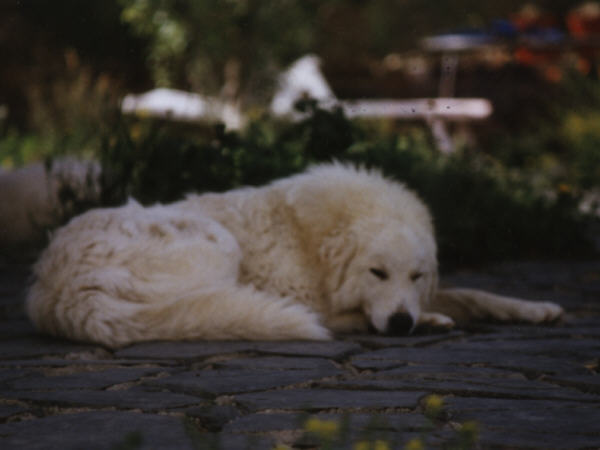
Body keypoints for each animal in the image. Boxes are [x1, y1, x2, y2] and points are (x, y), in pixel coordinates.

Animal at [27, 163, 564, 346]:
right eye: (376, 272)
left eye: (416, 275)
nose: (401, 324)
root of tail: (56, 291)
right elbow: (341, 312)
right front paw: (428, 318)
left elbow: (474, 292)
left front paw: (536, 308)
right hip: (218, 242)